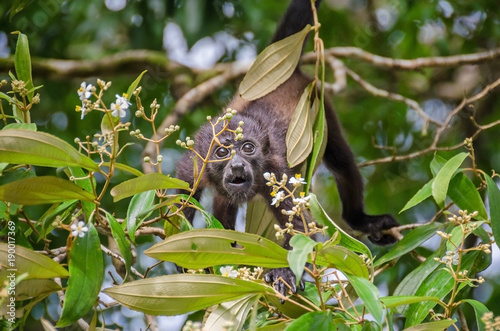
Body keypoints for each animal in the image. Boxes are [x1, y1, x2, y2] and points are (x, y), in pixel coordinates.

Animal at [176, 0, 398, 294]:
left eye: (248, 148)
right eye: (221, 152)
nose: (237, 165)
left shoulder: (275, 172)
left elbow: (302, 227)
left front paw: (283, 272)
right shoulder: (196, 164)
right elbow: (179, 189)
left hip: (321, 107)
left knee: (341, 163)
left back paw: (360, 219)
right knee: (224, 204)